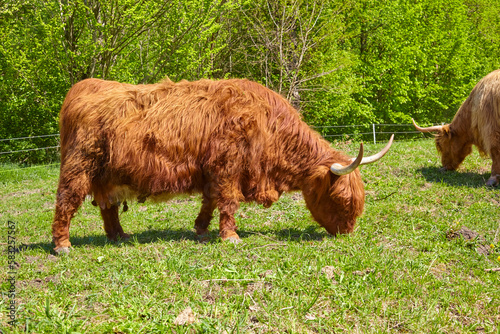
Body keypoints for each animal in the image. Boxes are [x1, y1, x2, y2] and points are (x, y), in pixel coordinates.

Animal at [51, 78, 394, 254]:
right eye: (341, 199)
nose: (347, 232)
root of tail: (82, 87)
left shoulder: (211, 171)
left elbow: (210, 201)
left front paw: (202, 231)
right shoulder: (227, 166)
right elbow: (227, 201)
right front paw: (230, 236)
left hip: (106, 174)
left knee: (107, 206)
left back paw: (119, 236)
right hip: (79, 164)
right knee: (66, 201)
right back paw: (62, 245)